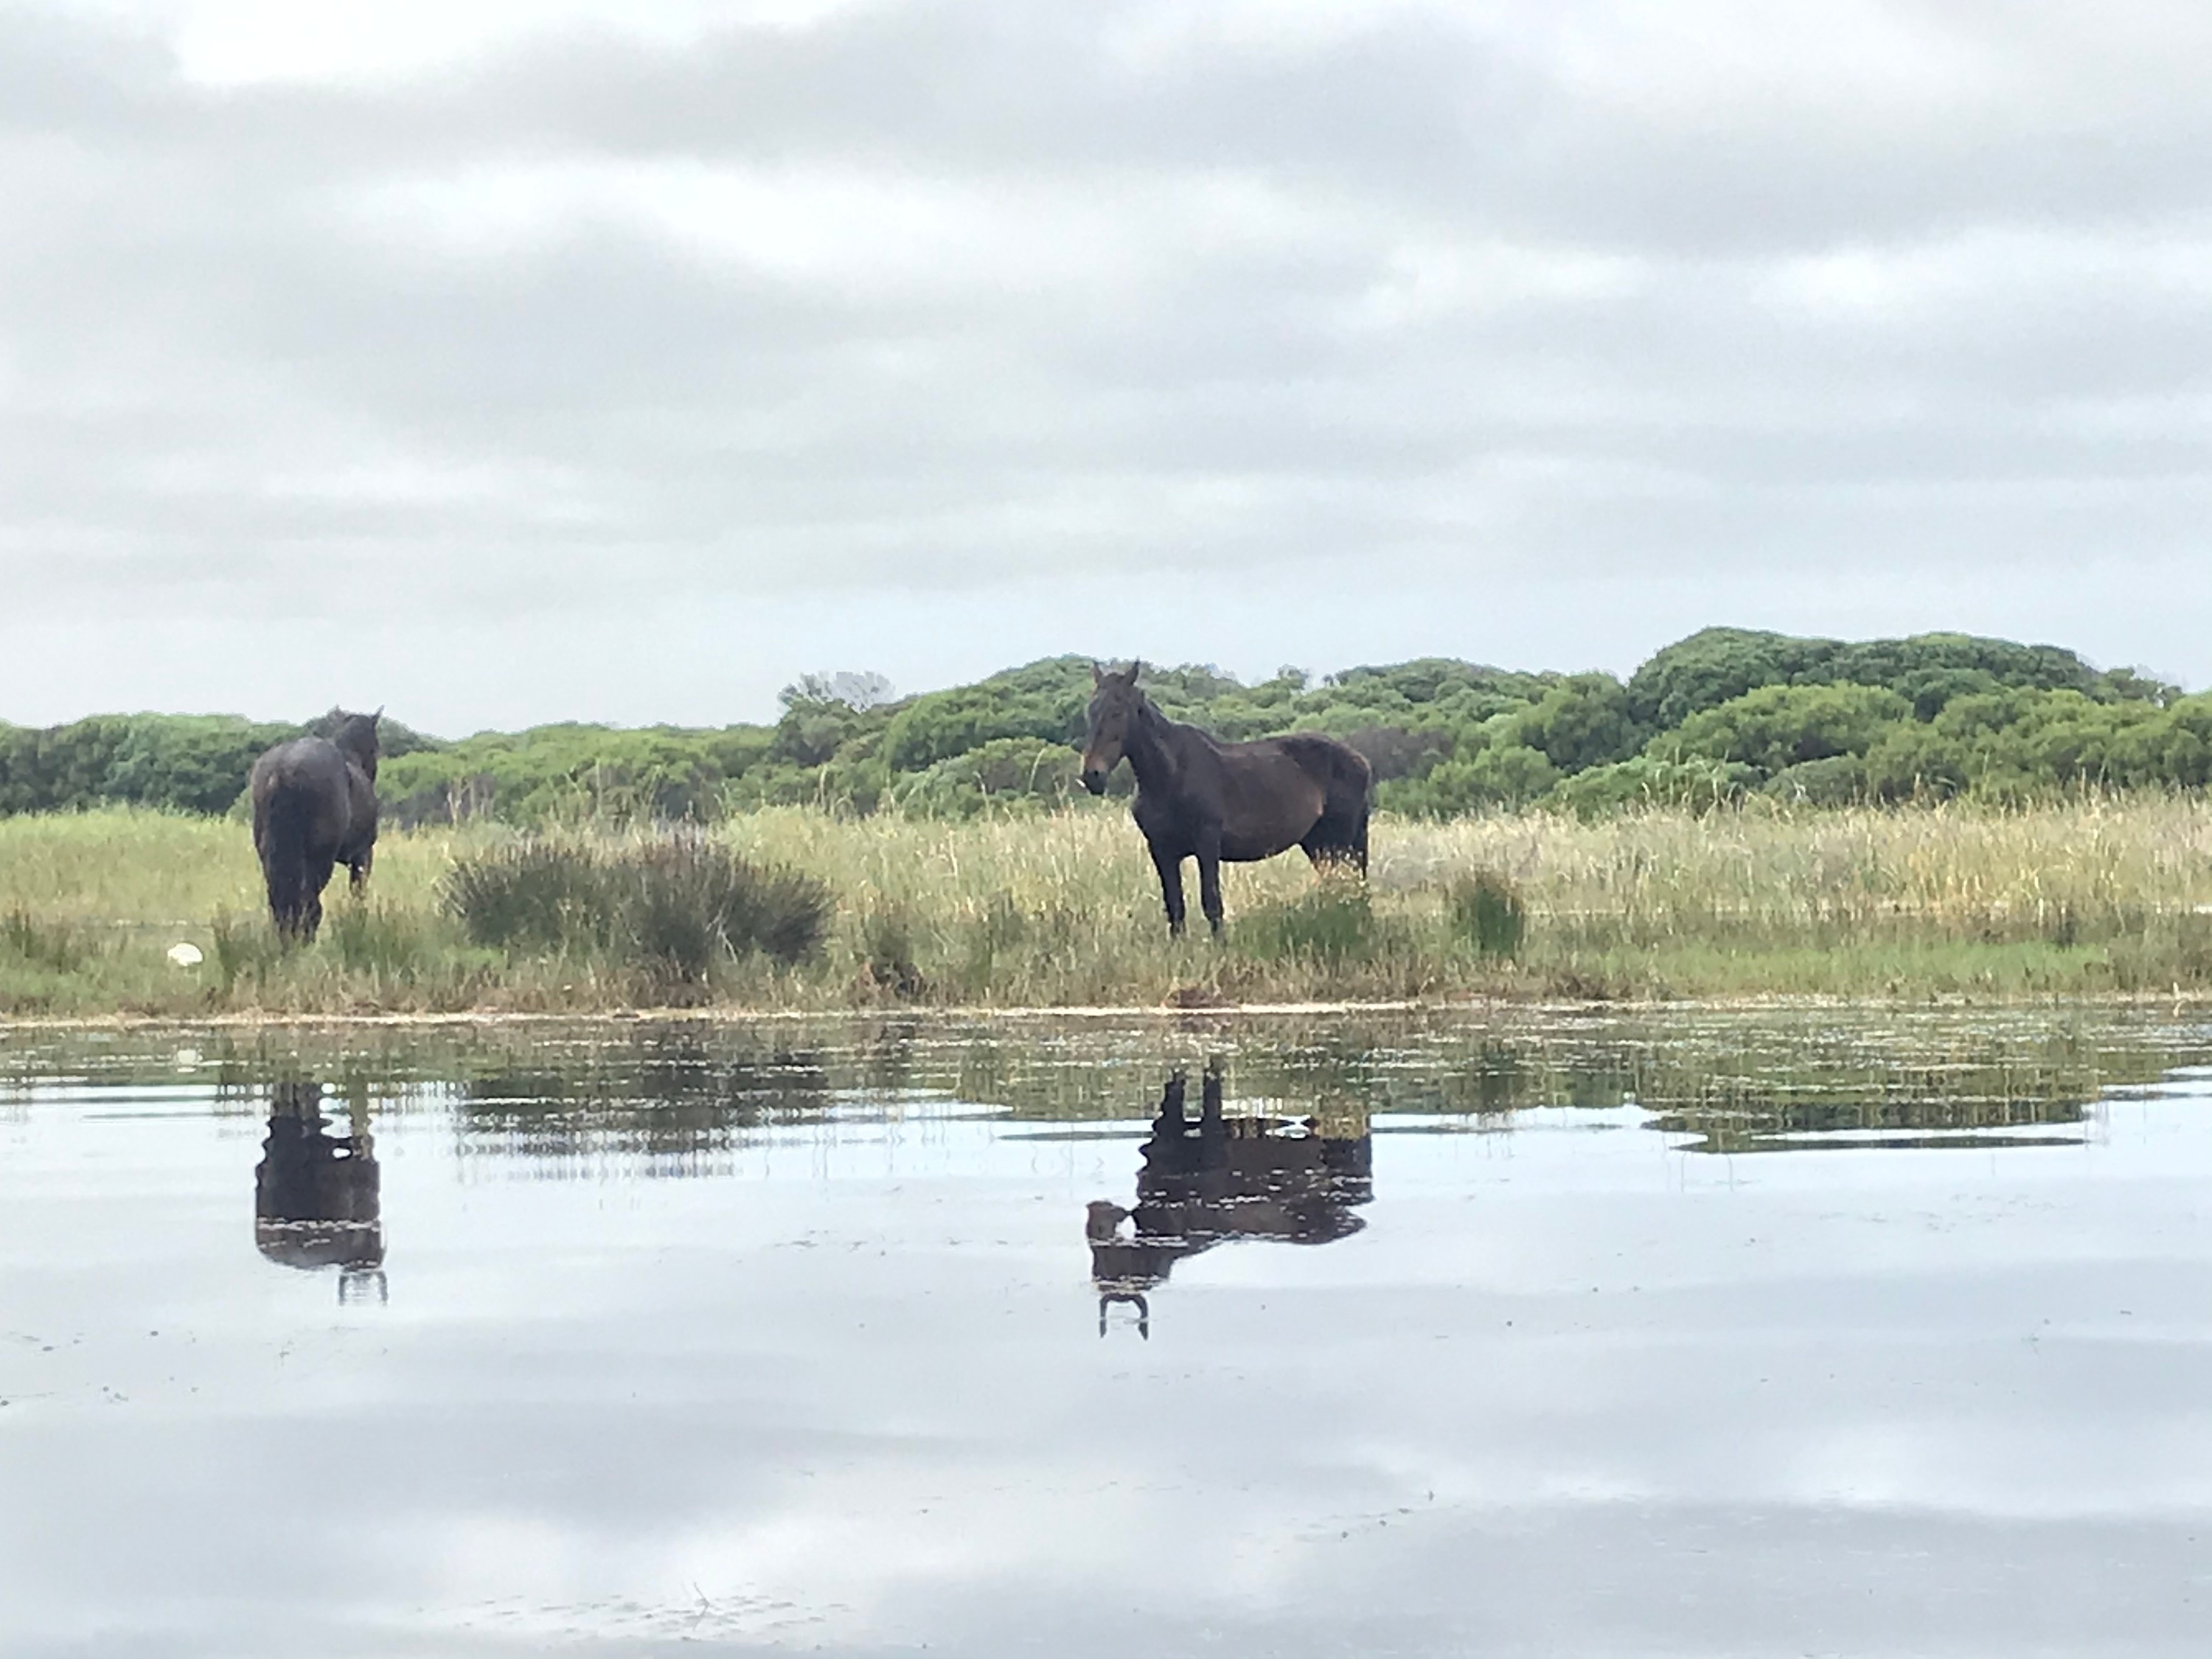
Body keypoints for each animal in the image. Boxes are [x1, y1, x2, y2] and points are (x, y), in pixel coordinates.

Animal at [250, 708, 380, 942]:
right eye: (376, 746)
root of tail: (283, 770)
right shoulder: (363, 854)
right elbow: (358, 892)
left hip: (269, 856)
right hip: (319, 859)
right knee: (309, 904)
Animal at [1075, 668, 1363, 947]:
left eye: (1118, 711)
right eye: (1091, 711)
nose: (1092, 776)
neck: (1171, 776)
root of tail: (1360, 760)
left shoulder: (1207, 846)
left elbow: (1211, 902)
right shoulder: (1161, 851)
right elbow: (1175, 906)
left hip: (1339, 843)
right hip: (1318, 844)